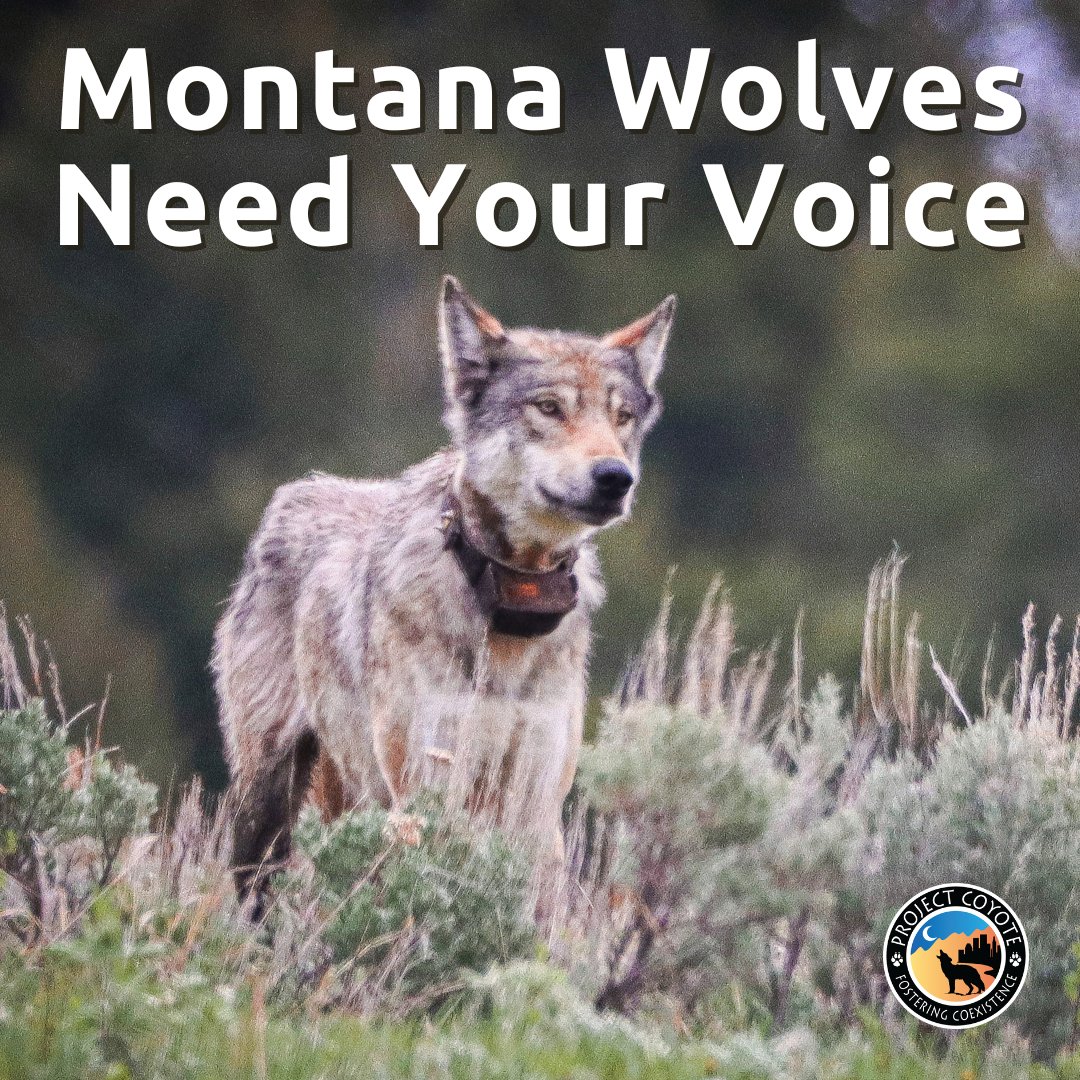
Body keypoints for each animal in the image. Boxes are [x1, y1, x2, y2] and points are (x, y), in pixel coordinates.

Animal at [213, 276, 675, 902]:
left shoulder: (535, 806)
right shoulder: (428, 787)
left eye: (621, 416)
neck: (510, 607)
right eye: (549, 408)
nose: (614, 478)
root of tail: (297, 493)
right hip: (267, 806)